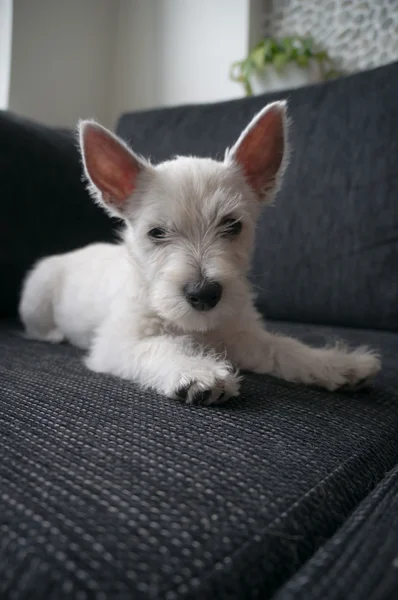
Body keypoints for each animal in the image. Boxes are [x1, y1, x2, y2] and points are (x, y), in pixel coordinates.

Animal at [18, 102, 380, 404]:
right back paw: (54, 334)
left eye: (232, 225)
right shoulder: (117, 343)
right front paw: (195, 371)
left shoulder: (241, 335)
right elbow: (156, 346)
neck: (196, 328)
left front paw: (335, 363)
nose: (204, 293)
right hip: (36, 298)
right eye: (157, 233)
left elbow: (281, 346)